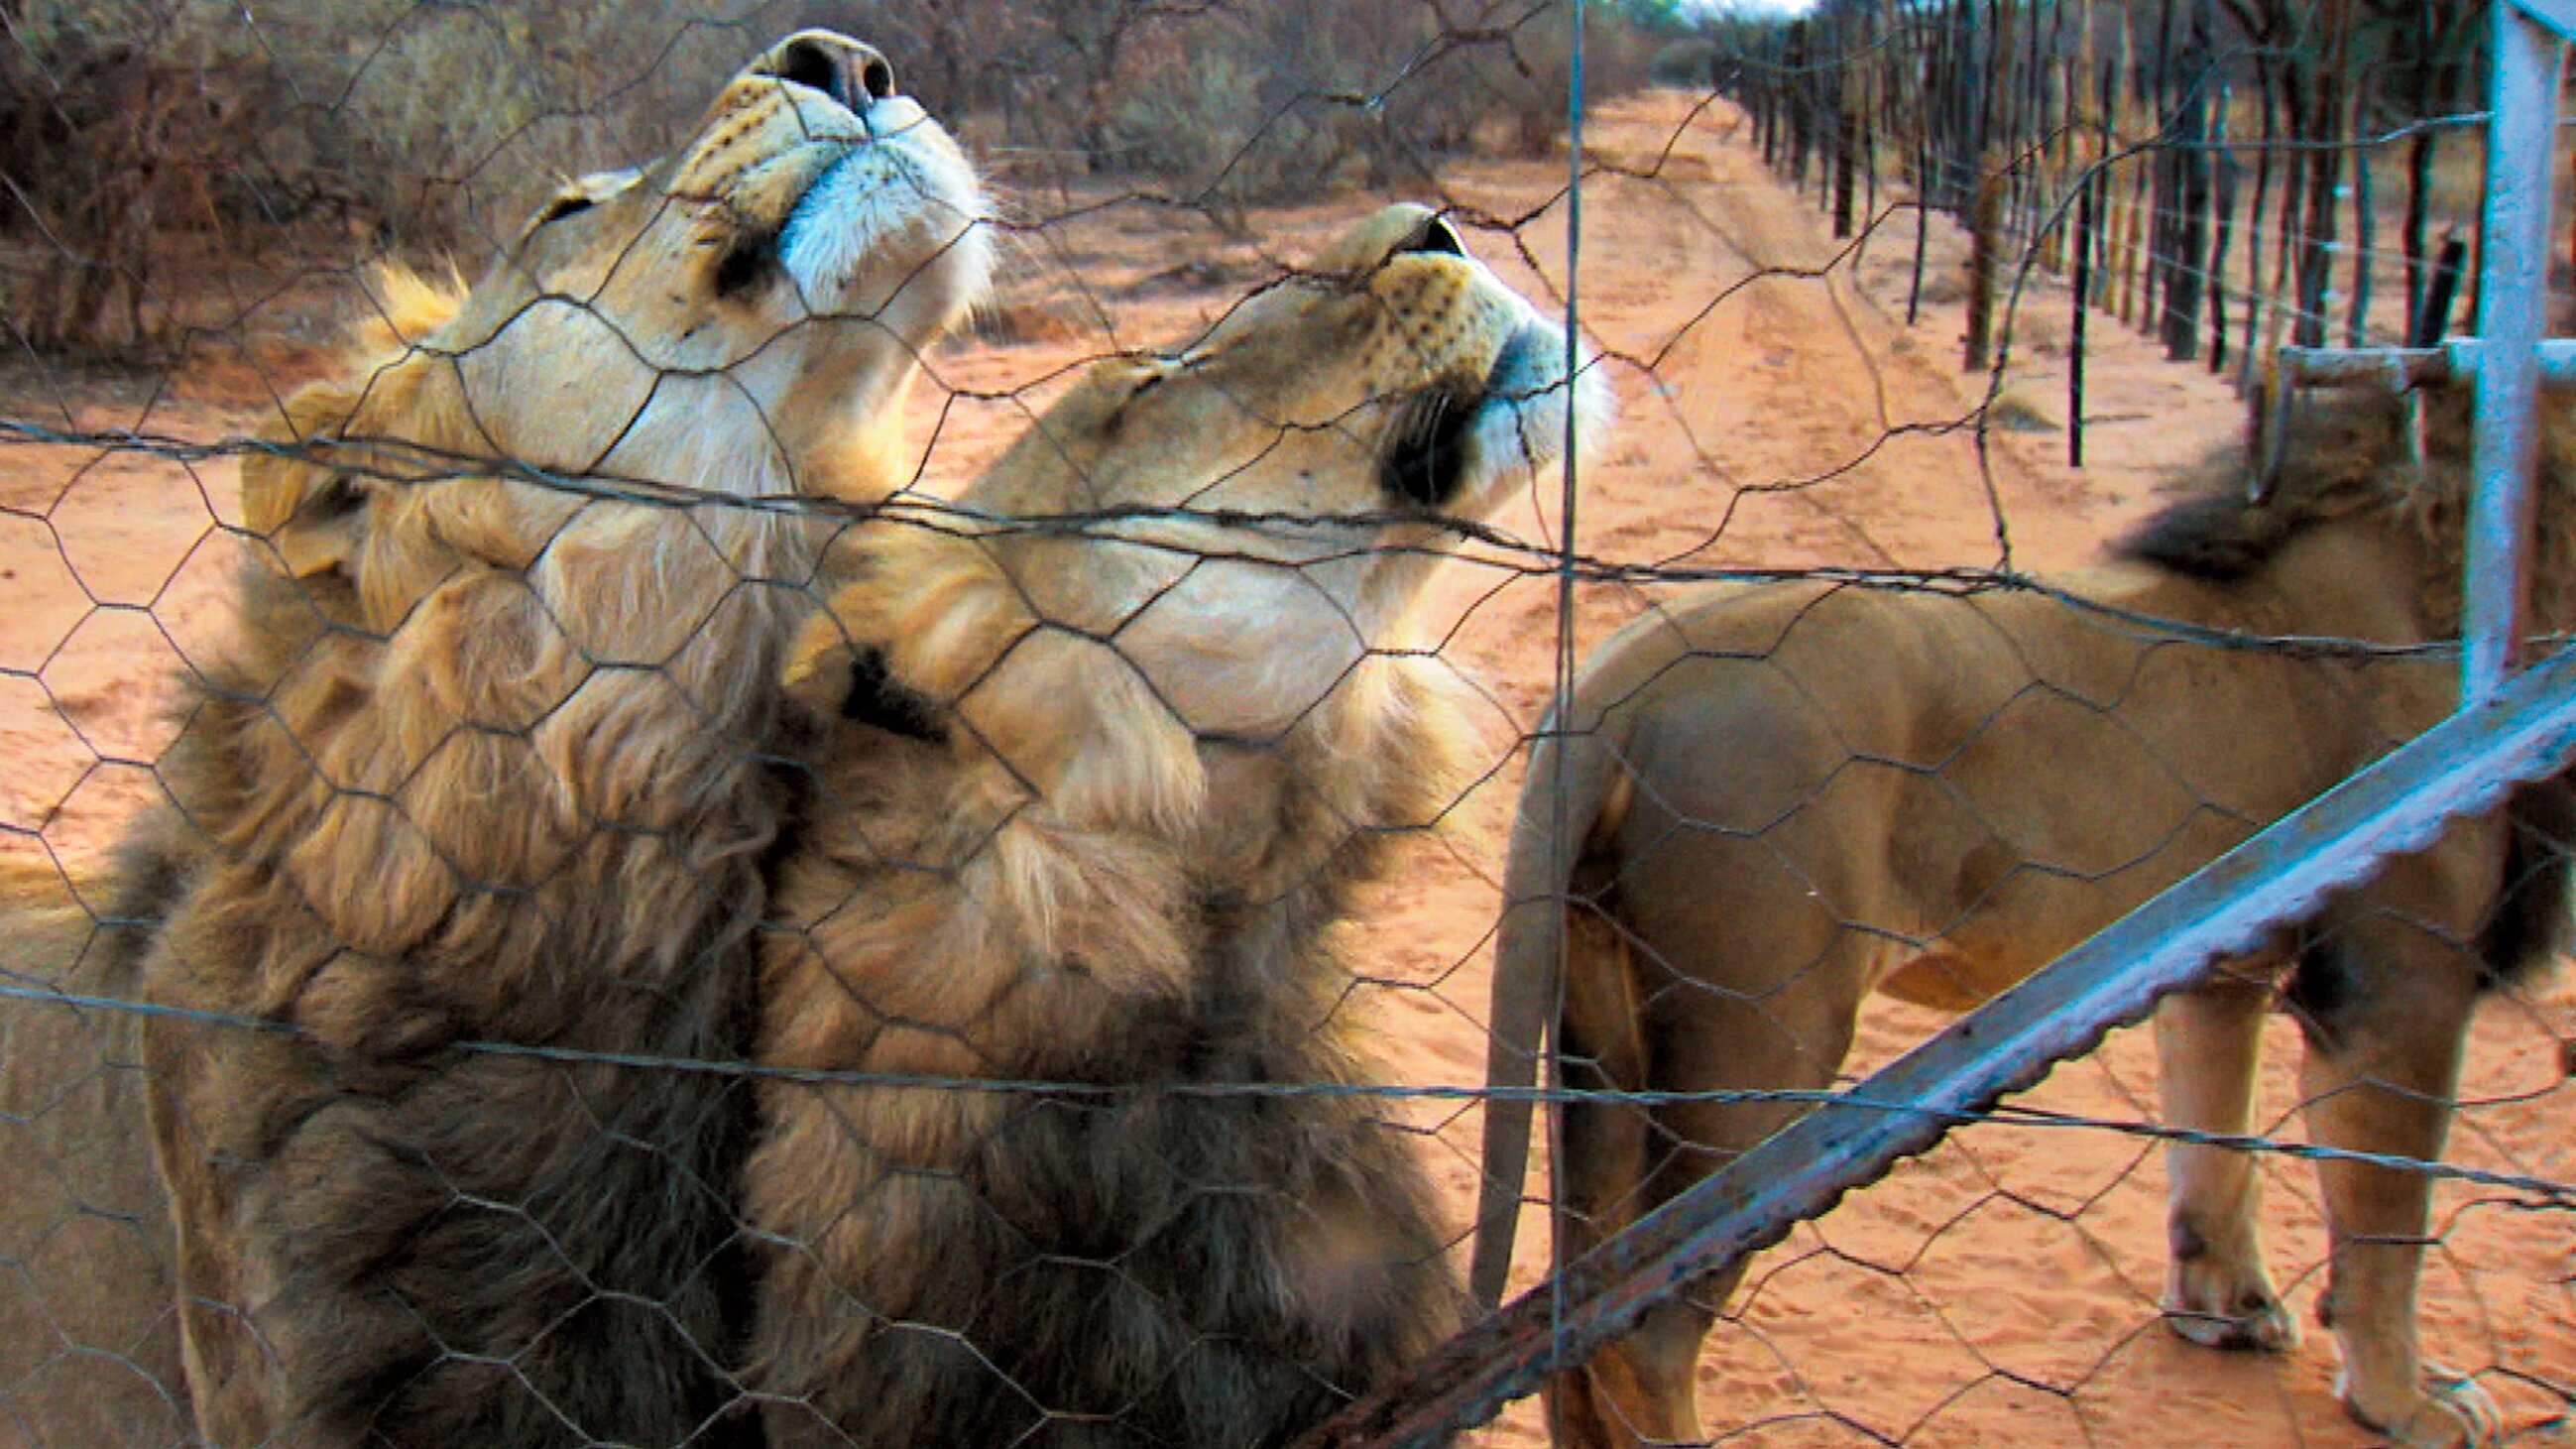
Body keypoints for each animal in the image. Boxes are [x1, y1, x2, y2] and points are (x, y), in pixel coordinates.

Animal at [1473, 373, 2576, 1443]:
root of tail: (1620, 678)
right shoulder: (2401, 979)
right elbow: (2389, 1211)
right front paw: (2409, 1402)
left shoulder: (2222, 963)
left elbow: (2217, 1137)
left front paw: (2226, 1312)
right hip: (1760, 1037)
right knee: (1642, 1334)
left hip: (1603, 1022)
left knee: (1576, 1320)